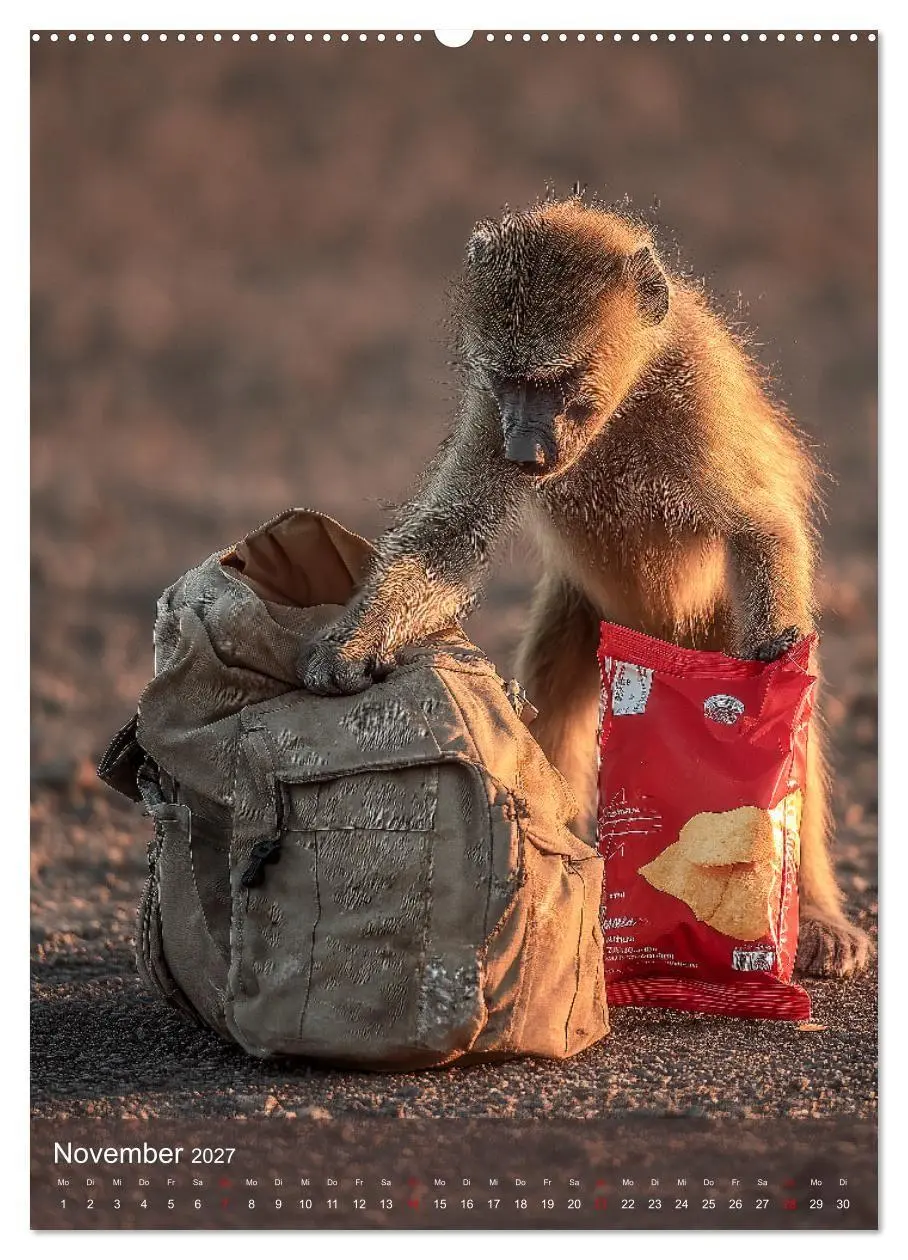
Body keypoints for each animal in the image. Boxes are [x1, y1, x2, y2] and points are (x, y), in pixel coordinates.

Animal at [299, 196, 871, 980]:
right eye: (512, 383)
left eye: (556, 382)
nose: (522, 450)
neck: (626, 400)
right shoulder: (488, 414)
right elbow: (452, 533)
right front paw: (353, 642)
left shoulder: (700, 397)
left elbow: (762, 526)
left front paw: (771, 658)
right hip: (584, 617)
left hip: (716, 622)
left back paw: (812, 913)